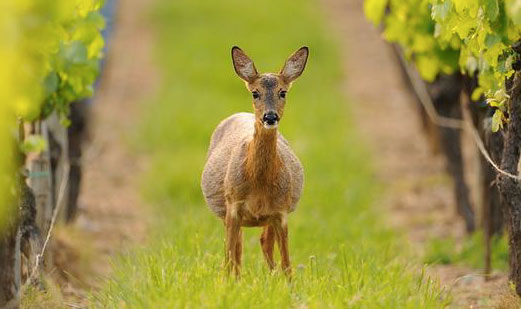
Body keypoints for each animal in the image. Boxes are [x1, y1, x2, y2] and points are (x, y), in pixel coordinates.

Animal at [198, 46, 304, 276]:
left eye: (283, 92)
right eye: (255, 93)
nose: (270, 117)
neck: (258, 185)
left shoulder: (281, 211)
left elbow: (287, 264)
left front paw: (287, 284)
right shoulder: (233, 206)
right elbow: (230, 257)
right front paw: (228, 284)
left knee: (264, 243)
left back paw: (271, 275)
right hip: (228, 214)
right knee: (236, 250)